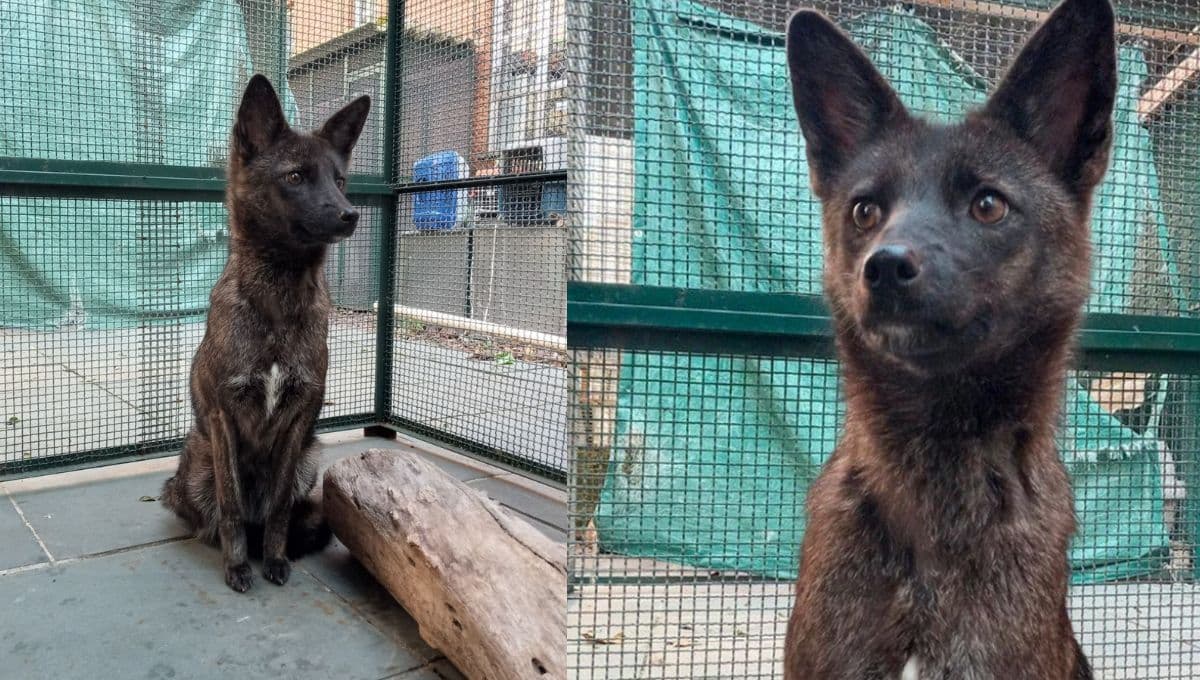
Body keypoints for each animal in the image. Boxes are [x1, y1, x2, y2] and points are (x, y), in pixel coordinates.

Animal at [161, 74, 370, 593]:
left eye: (339, 180)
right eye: (295, 177)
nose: (350, 214)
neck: (278, 299)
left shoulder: (299, 421)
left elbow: (277, 508)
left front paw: (274, 558)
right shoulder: (223, 416)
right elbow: (232, 506)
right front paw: (237, 565)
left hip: (311, 459)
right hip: (196, 457)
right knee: (206, 513)